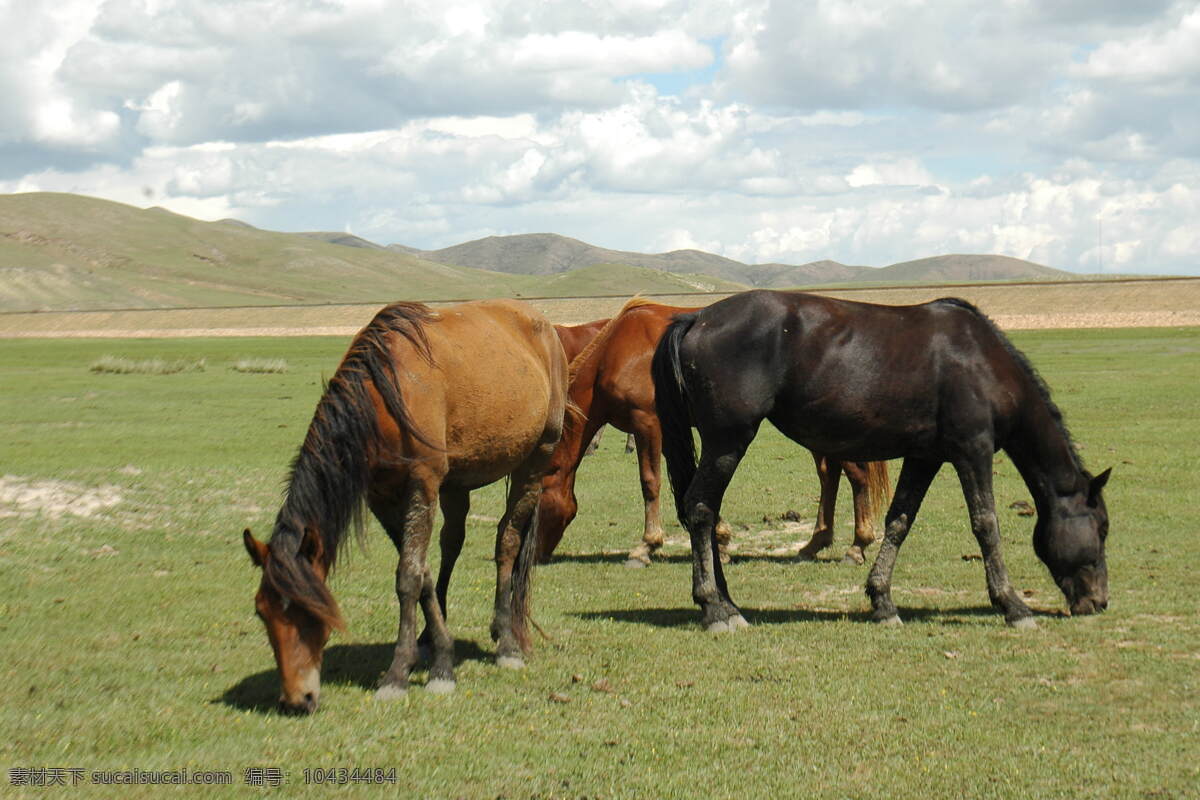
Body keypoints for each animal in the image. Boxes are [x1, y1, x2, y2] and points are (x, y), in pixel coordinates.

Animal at [241, 299, 568, 714]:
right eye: (261, 611)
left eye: (311, 612)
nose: (298, 699)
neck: (384, 397)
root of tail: (541, 323)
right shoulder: (382, 497)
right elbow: (421, 572)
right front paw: (439, 656)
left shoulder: (421, 484)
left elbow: (408, 576)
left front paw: (399, 675)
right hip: (458, 481)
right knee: (451, 544)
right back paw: (440, 633)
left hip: (535, 461)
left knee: (507, 543)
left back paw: (508, 642)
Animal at [540, 299, 888, 568]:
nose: (536, 556)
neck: (617, 353)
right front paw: (720, 539)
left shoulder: (647, 424)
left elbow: (650, 483)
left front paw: (646, 546)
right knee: (829, 475)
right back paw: (815, 543)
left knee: (856, 475)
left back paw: (857, 546)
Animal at [652, 289, 1108, 633]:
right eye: (1102, 529)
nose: (1100, 601)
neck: (981, 361)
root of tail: (697, 318)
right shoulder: (972, 451)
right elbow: (986, 525)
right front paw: (1013, 605)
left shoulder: (925, 457)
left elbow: (899, 521)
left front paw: (883, 601)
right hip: (727, 441)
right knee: (700, 508)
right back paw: (716, 608)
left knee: (704, 511)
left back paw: (726, 600)